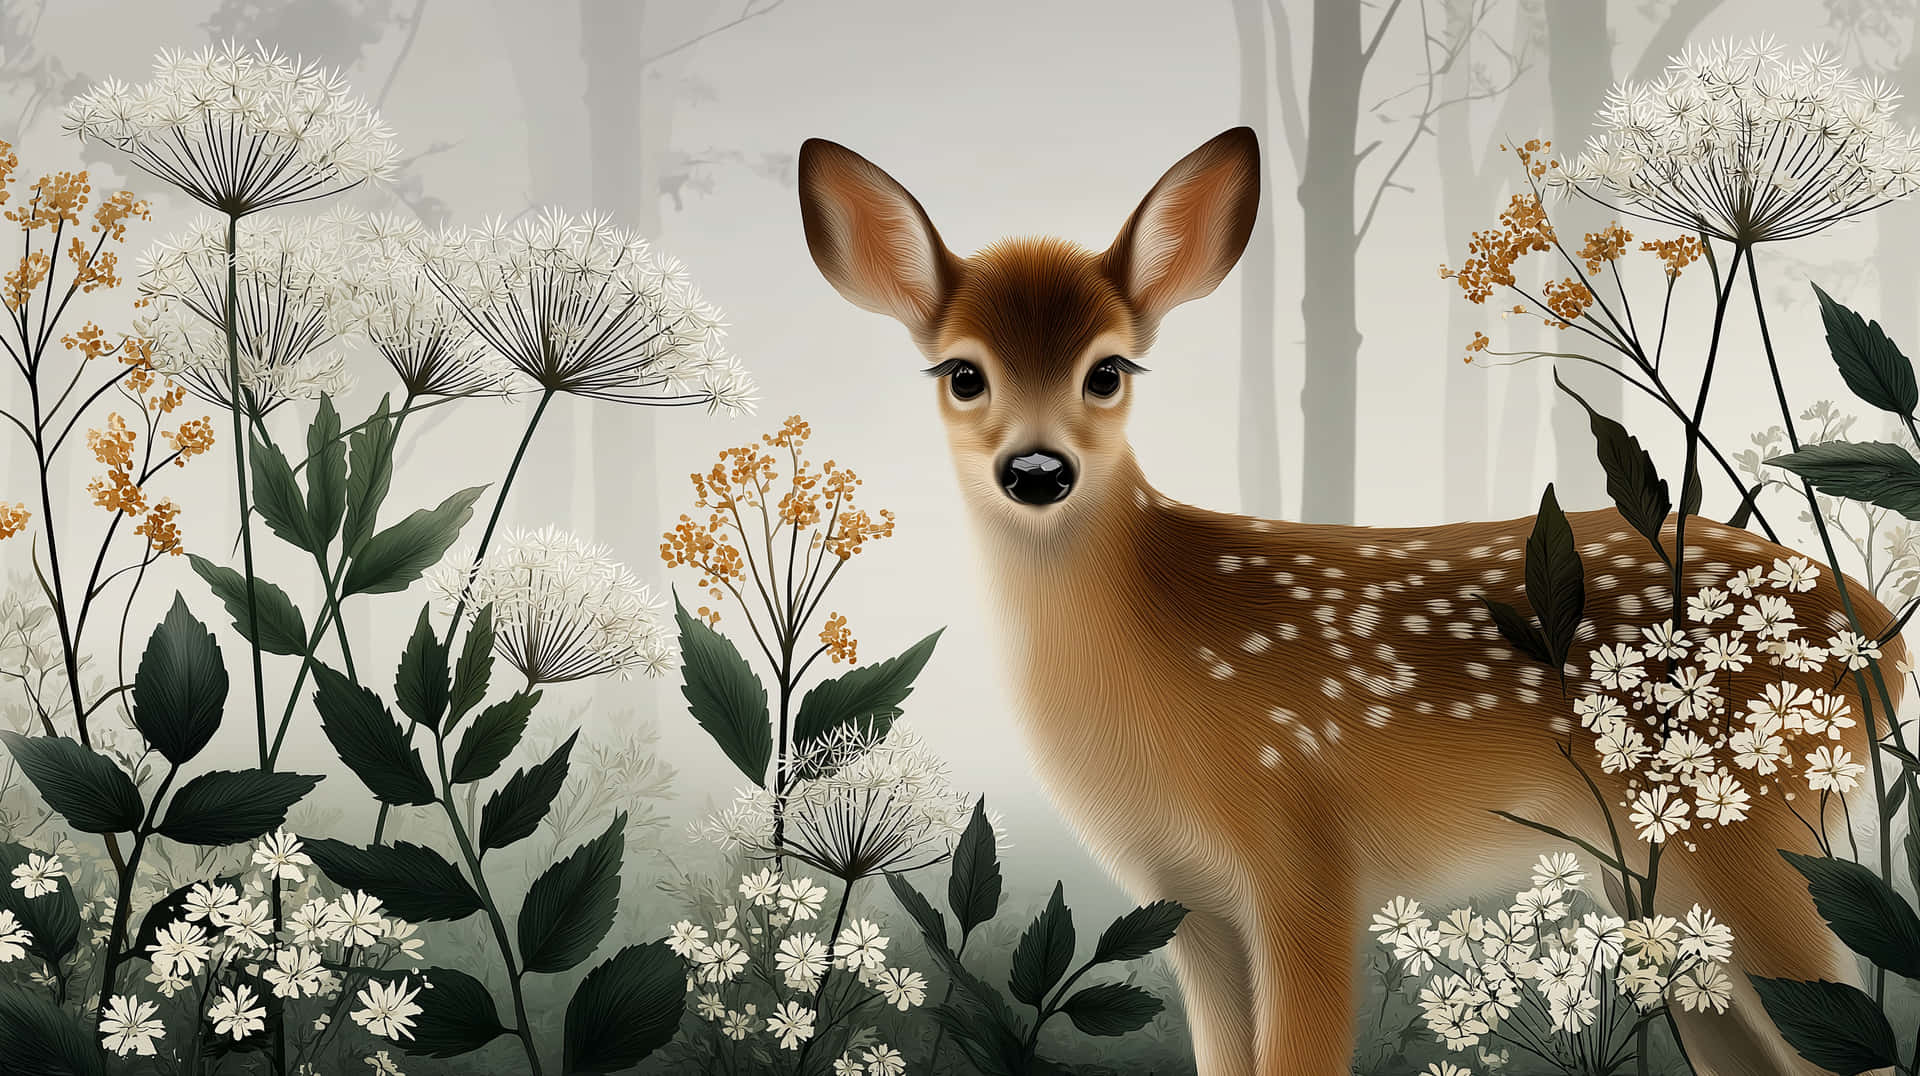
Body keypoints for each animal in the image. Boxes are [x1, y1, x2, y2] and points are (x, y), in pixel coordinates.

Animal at [795, 127, 1906, 1075]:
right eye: (961, 373)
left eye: (1106, 369)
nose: (1036, 469)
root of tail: (1883, 645)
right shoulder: (1189, 904)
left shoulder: (1303, 853)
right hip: (1662, 891)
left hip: (1759, 831)